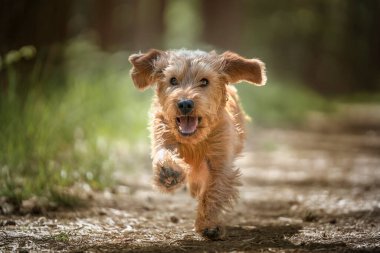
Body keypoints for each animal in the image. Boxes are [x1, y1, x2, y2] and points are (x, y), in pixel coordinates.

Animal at [129, 49, 266, 239]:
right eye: (173, 80)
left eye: (204, 81)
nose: (185, 103)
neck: (194, 141)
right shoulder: (162, 135)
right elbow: (164, 153)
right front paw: (168, 172)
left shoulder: (220, 162)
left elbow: (213, 191)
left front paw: (208, 225)